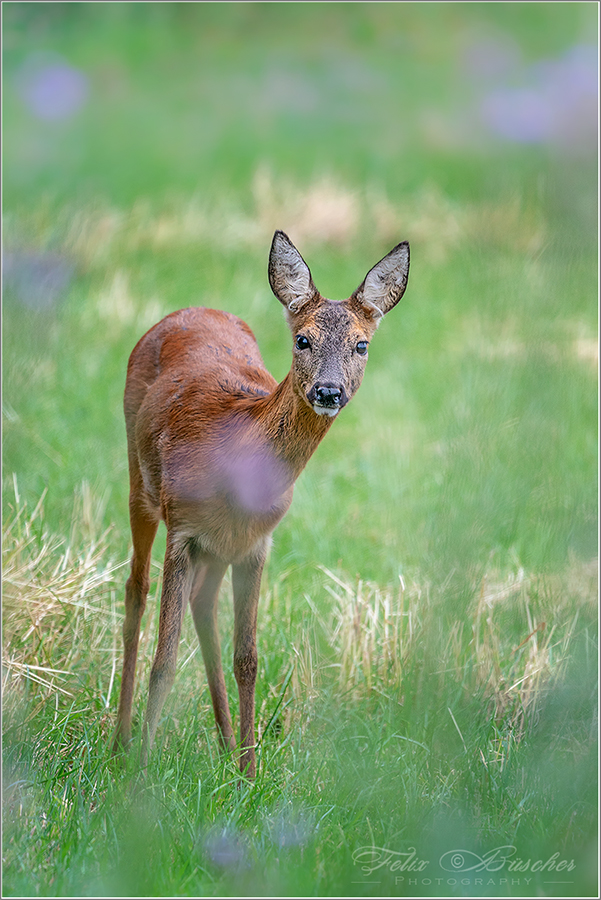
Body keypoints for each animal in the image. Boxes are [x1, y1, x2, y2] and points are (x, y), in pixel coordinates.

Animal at [113, 229, 408, 776]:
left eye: (361, 344)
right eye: (303, 339)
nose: (329, 391)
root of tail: (190, 308)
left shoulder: (257, 543)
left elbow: (248, 660)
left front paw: (249, 774)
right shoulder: (182, 528)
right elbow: (165, 659)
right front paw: (139, 774)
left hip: (219, 548)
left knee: (203, 603)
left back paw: (227, 745)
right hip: (140, 483)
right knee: (135, 590)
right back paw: (120, 739)